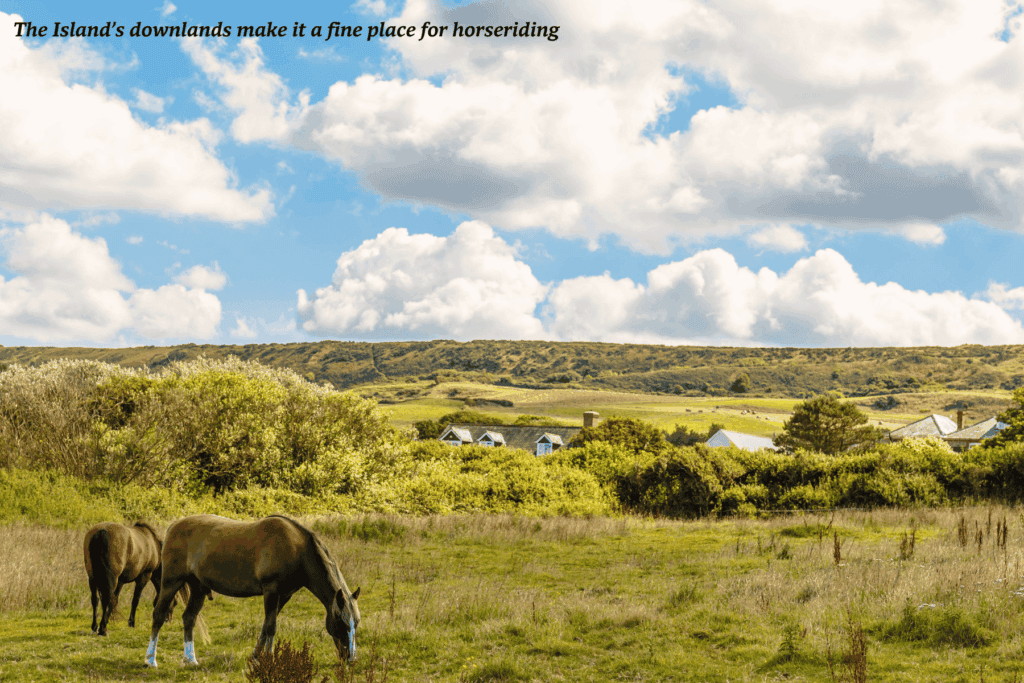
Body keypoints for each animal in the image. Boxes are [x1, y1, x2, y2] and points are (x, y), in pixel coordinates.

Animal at [144, 514, 361, 668]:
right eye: (340, 622)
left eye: (356, 623)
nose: (350, 659)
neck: (296, 548)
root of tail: (173, 526)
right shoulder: (271, 590)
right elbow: (271, 626)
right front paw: (270, 659)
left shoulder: (283, 595)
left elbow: (266, 625)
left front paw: (257, 657)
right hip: (171, 583)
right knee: (158, 615)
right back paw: (150, 660)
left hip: (198, 588)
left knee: (189, 618)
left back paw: (190, 659)